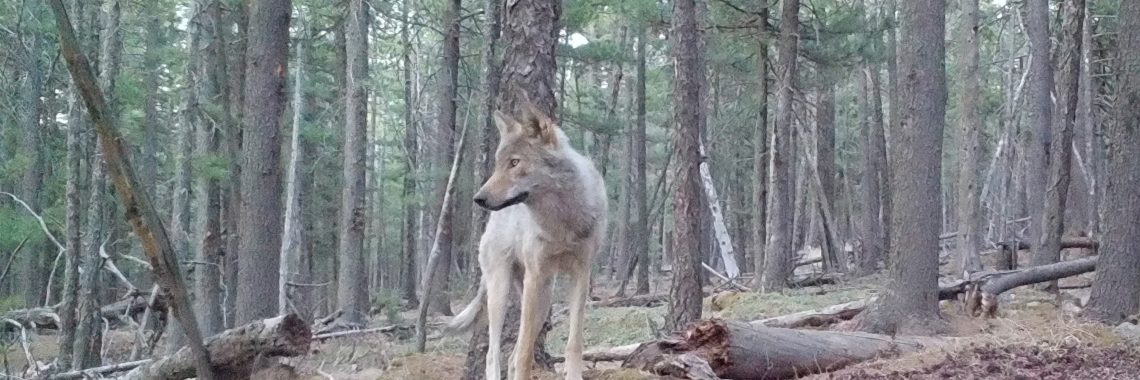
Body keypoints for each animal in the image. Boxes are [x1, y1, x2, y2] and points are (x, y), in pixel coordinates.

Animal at [442, 103, 606, 378]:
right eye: (498, 164)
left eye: (515, 162)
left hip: (544, 298)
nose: (479, 198)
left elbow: (574, 343)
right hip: (502, 291)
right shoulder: (535, 275)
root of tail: (489, 225)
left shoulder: (581, 274)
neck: (562, 222)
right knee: (494, 355)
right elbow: (525, 355)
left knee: (511, 356)